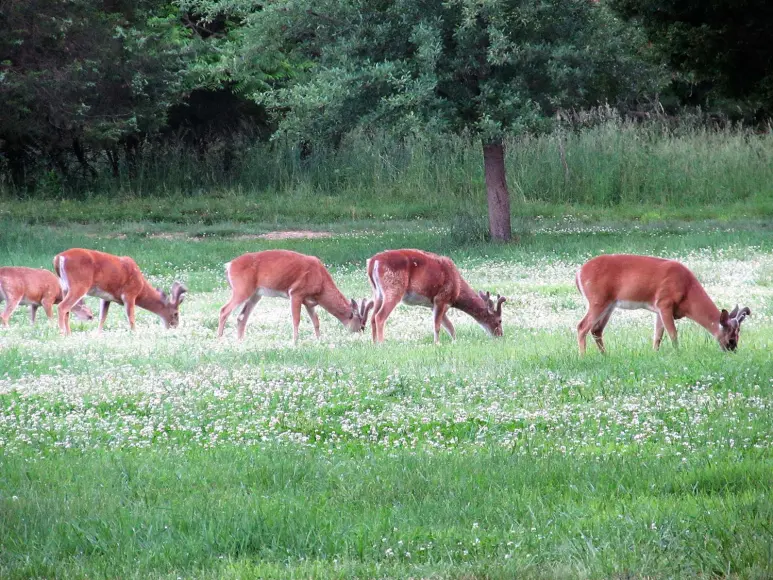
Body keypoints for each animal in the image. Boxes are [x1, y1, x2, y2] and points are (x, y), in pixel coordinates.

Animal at [54, 249, 187, 336]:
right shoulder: (130, 293)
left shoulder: (105, 297)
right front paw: (135, 334)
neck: (141, 288)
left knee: (67, 309)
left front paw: (98, 335)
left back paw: (69, 334)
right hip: (79, 284)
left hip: (65, 286)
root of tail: (59, 258)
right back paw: (62, 334)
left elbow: (103, 317)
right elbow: (131, 317)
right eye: (176, 313)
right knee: (62, 307)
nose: (174, 326)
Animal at [217, 248, 374, 340]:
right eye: (361, 324)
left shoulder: (309, 301)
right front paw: (295, 342)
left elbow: (316, 321)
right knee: (224, 310)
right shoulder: (296, 293)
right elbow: (296, 320)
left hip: (256, 294)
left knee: (241, 316)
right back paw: (219, 340)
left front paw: (319, 340)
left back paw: (240, 342)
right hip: (242, 289)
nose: (361, 334)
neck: (321, 284)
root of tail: (229, 266)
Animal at [368, 250, 506, 344]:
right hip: (393, 288)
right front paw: (437, 344)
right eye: (499, 320)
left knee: (372, 317)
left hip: (377, 293)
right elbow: (438, 326)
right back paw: (381, 344)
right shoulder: (441, 298)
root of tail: (373, 262)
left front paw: (454, 342)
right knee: (379, 316)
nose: (500, 335)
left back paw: (374, 344)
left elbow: (450, 327)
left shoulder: (434, 305)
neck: (457, 291)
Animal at [572, 254, 748, 354]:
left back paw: (605, 355)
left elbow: (657, 336)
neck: (687, 290)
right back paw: (583, 357)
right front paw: (678, 354)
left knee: (596, 329)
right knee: (582, 326)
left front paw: (655, 354)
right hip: (597, 300)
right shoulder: (665, 302)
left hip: (609, 304)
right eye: (731, 337)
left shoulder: (658, 309)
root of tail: (578, 273)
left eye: (739, 335)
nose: (733, 351)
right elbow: (673, 333)